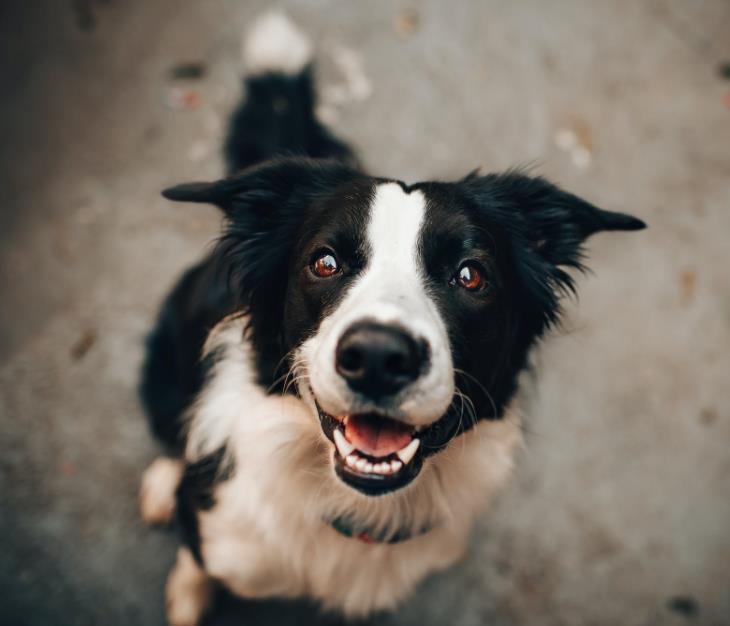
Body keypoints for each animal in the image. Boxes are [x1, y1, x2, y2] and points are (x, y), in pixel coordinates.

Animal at [136, 11, 644, 624]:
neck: (357, 507)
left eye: (470, 275)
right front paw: (189, 593)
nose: (379, 357)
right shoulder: (219, 534)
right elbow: (195, 560)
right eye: (325, 262)